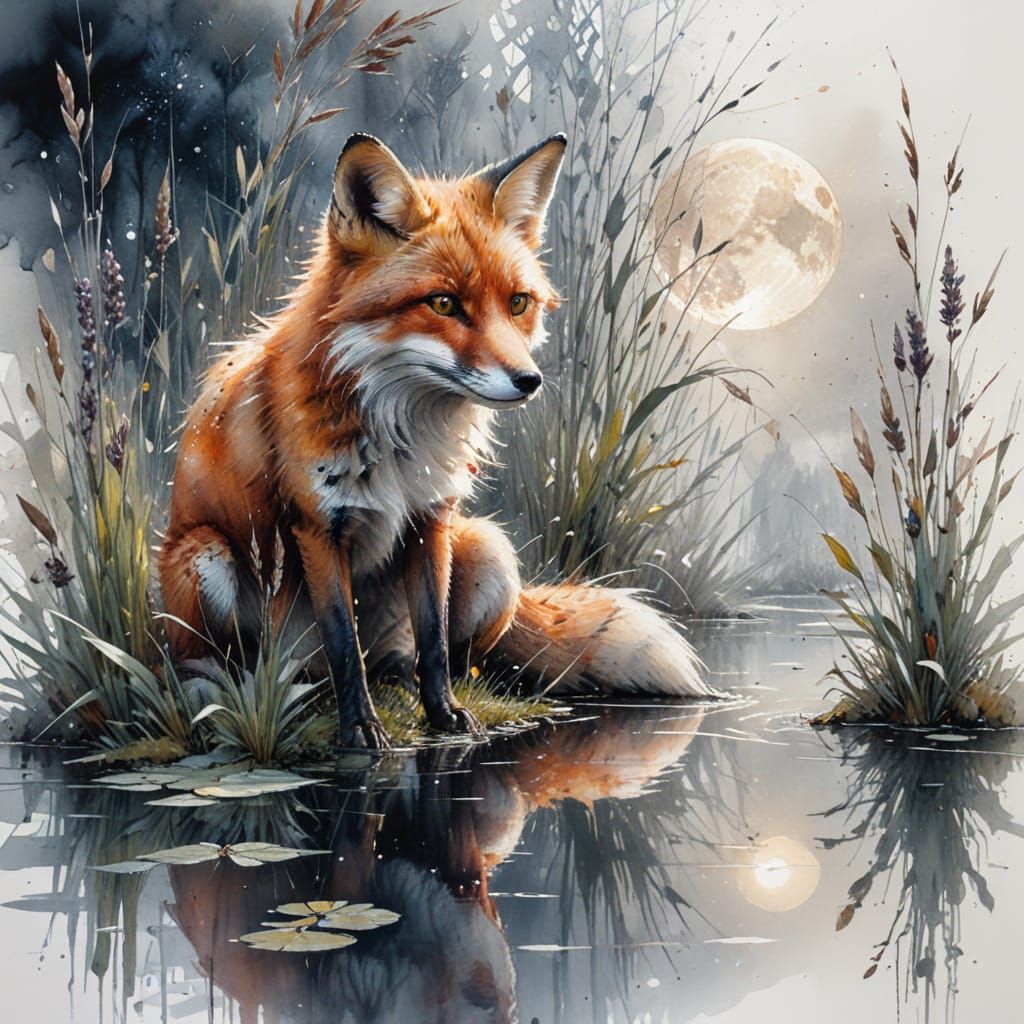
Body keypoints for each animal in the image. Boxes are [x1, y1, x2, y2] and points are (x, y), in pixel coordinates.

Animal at [159, 131, 714, 749]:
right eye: (444, 303)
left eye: (517, 303)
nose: (529, 381)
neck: (403, 438)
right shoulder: (317, 527)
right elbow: (343, 644)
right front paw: (360, 729)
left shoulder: (431, 519)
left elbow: (435, 640)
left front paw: (443, 715)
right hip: (205, 555)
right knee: (219, 662)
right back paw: (227, 696)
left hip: (491, 554)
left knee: (453, 660)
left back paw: (402, 689)